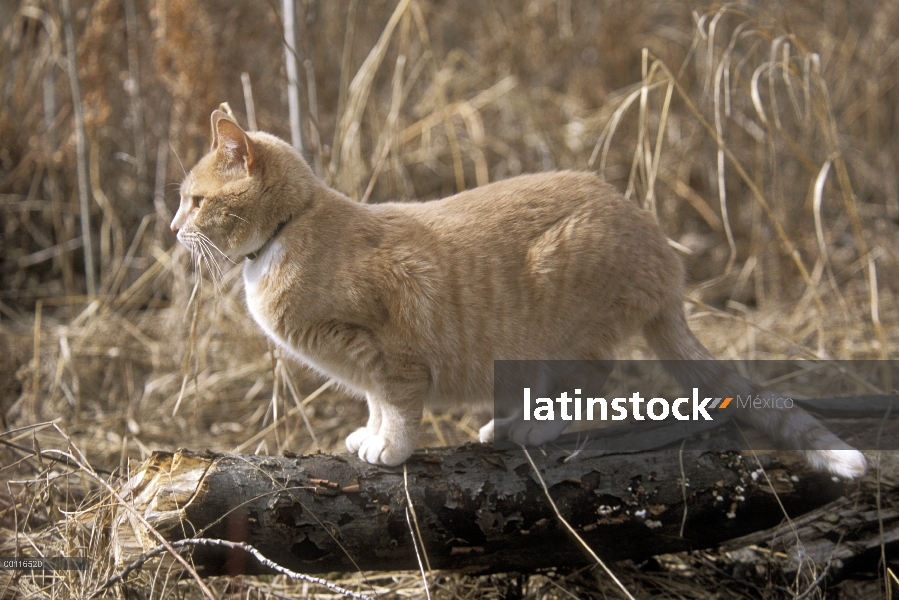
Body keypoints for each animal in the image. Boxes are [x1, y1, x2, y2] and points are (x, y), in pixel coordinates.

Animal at [169, 110, 864, 478]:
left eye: (195, 200)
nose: (173, 229)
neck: (292, 228)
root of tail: (661, 250)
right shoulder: (365, 363)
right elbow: (372, 401)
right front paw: (370, 435)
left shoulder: (392, 350)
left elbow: (398, 403)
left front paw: (392, 449)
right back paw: (503, 423)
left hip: (570, 312)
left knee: (587, 379)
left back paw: (531, 427)